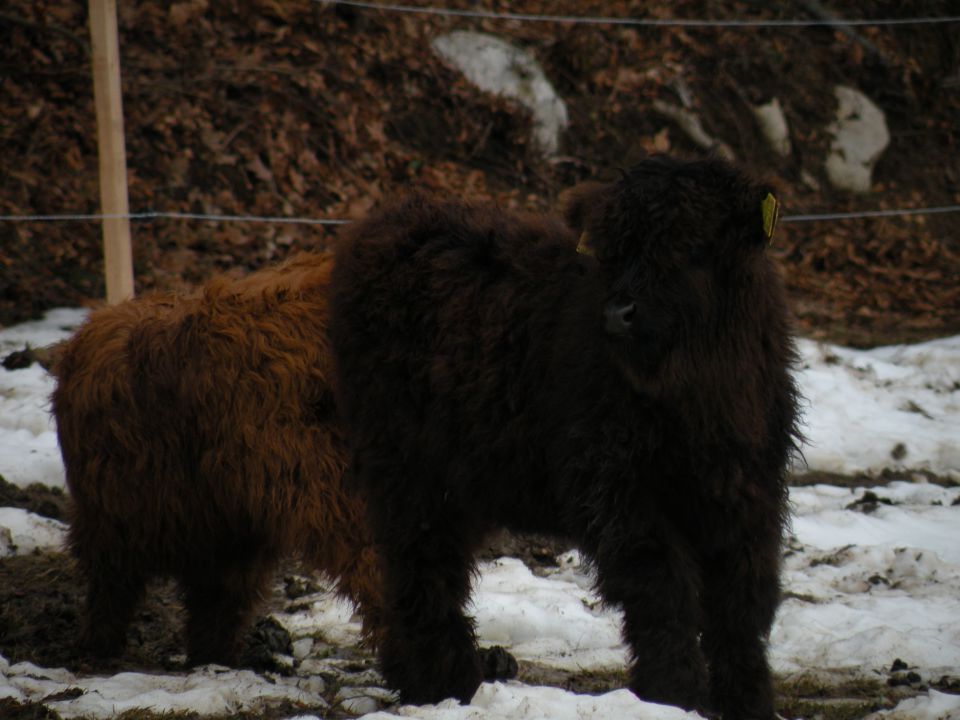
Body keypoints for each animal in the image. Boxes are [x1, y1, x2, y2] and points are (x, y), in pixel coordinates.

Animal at [330, 159, 804, 720]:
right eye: (612, 250)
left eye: (692, 246)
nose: (619, 312)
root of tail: (382, 226)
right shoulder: (618, 490)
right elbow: (662, 591)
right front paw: (673, 695)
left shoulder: (749, 493)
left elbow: (743, 604)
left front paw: (749, 701)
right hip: (407, 469)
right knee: (422, 567)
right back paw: (446, 683)